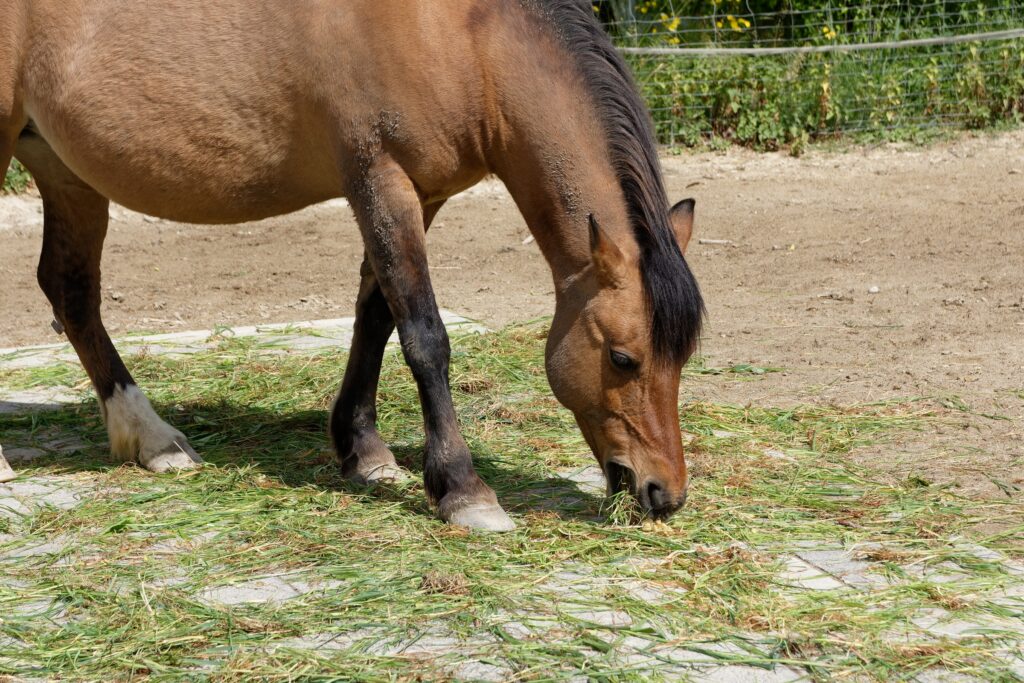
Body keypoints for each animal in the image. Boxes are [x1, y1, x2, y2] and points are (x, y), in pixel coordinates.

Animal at [0, 0, 704, 530]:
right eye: (623, 358)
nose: (664, 492)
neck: (461, 35)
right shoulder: (379, 178)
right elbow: (424, 335)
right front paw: (463, 490)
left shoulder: (422, 192)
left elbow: (377, 315)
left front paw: (362, 450)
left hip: (63, 171)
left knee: (71, 294)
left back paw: (151, 439)